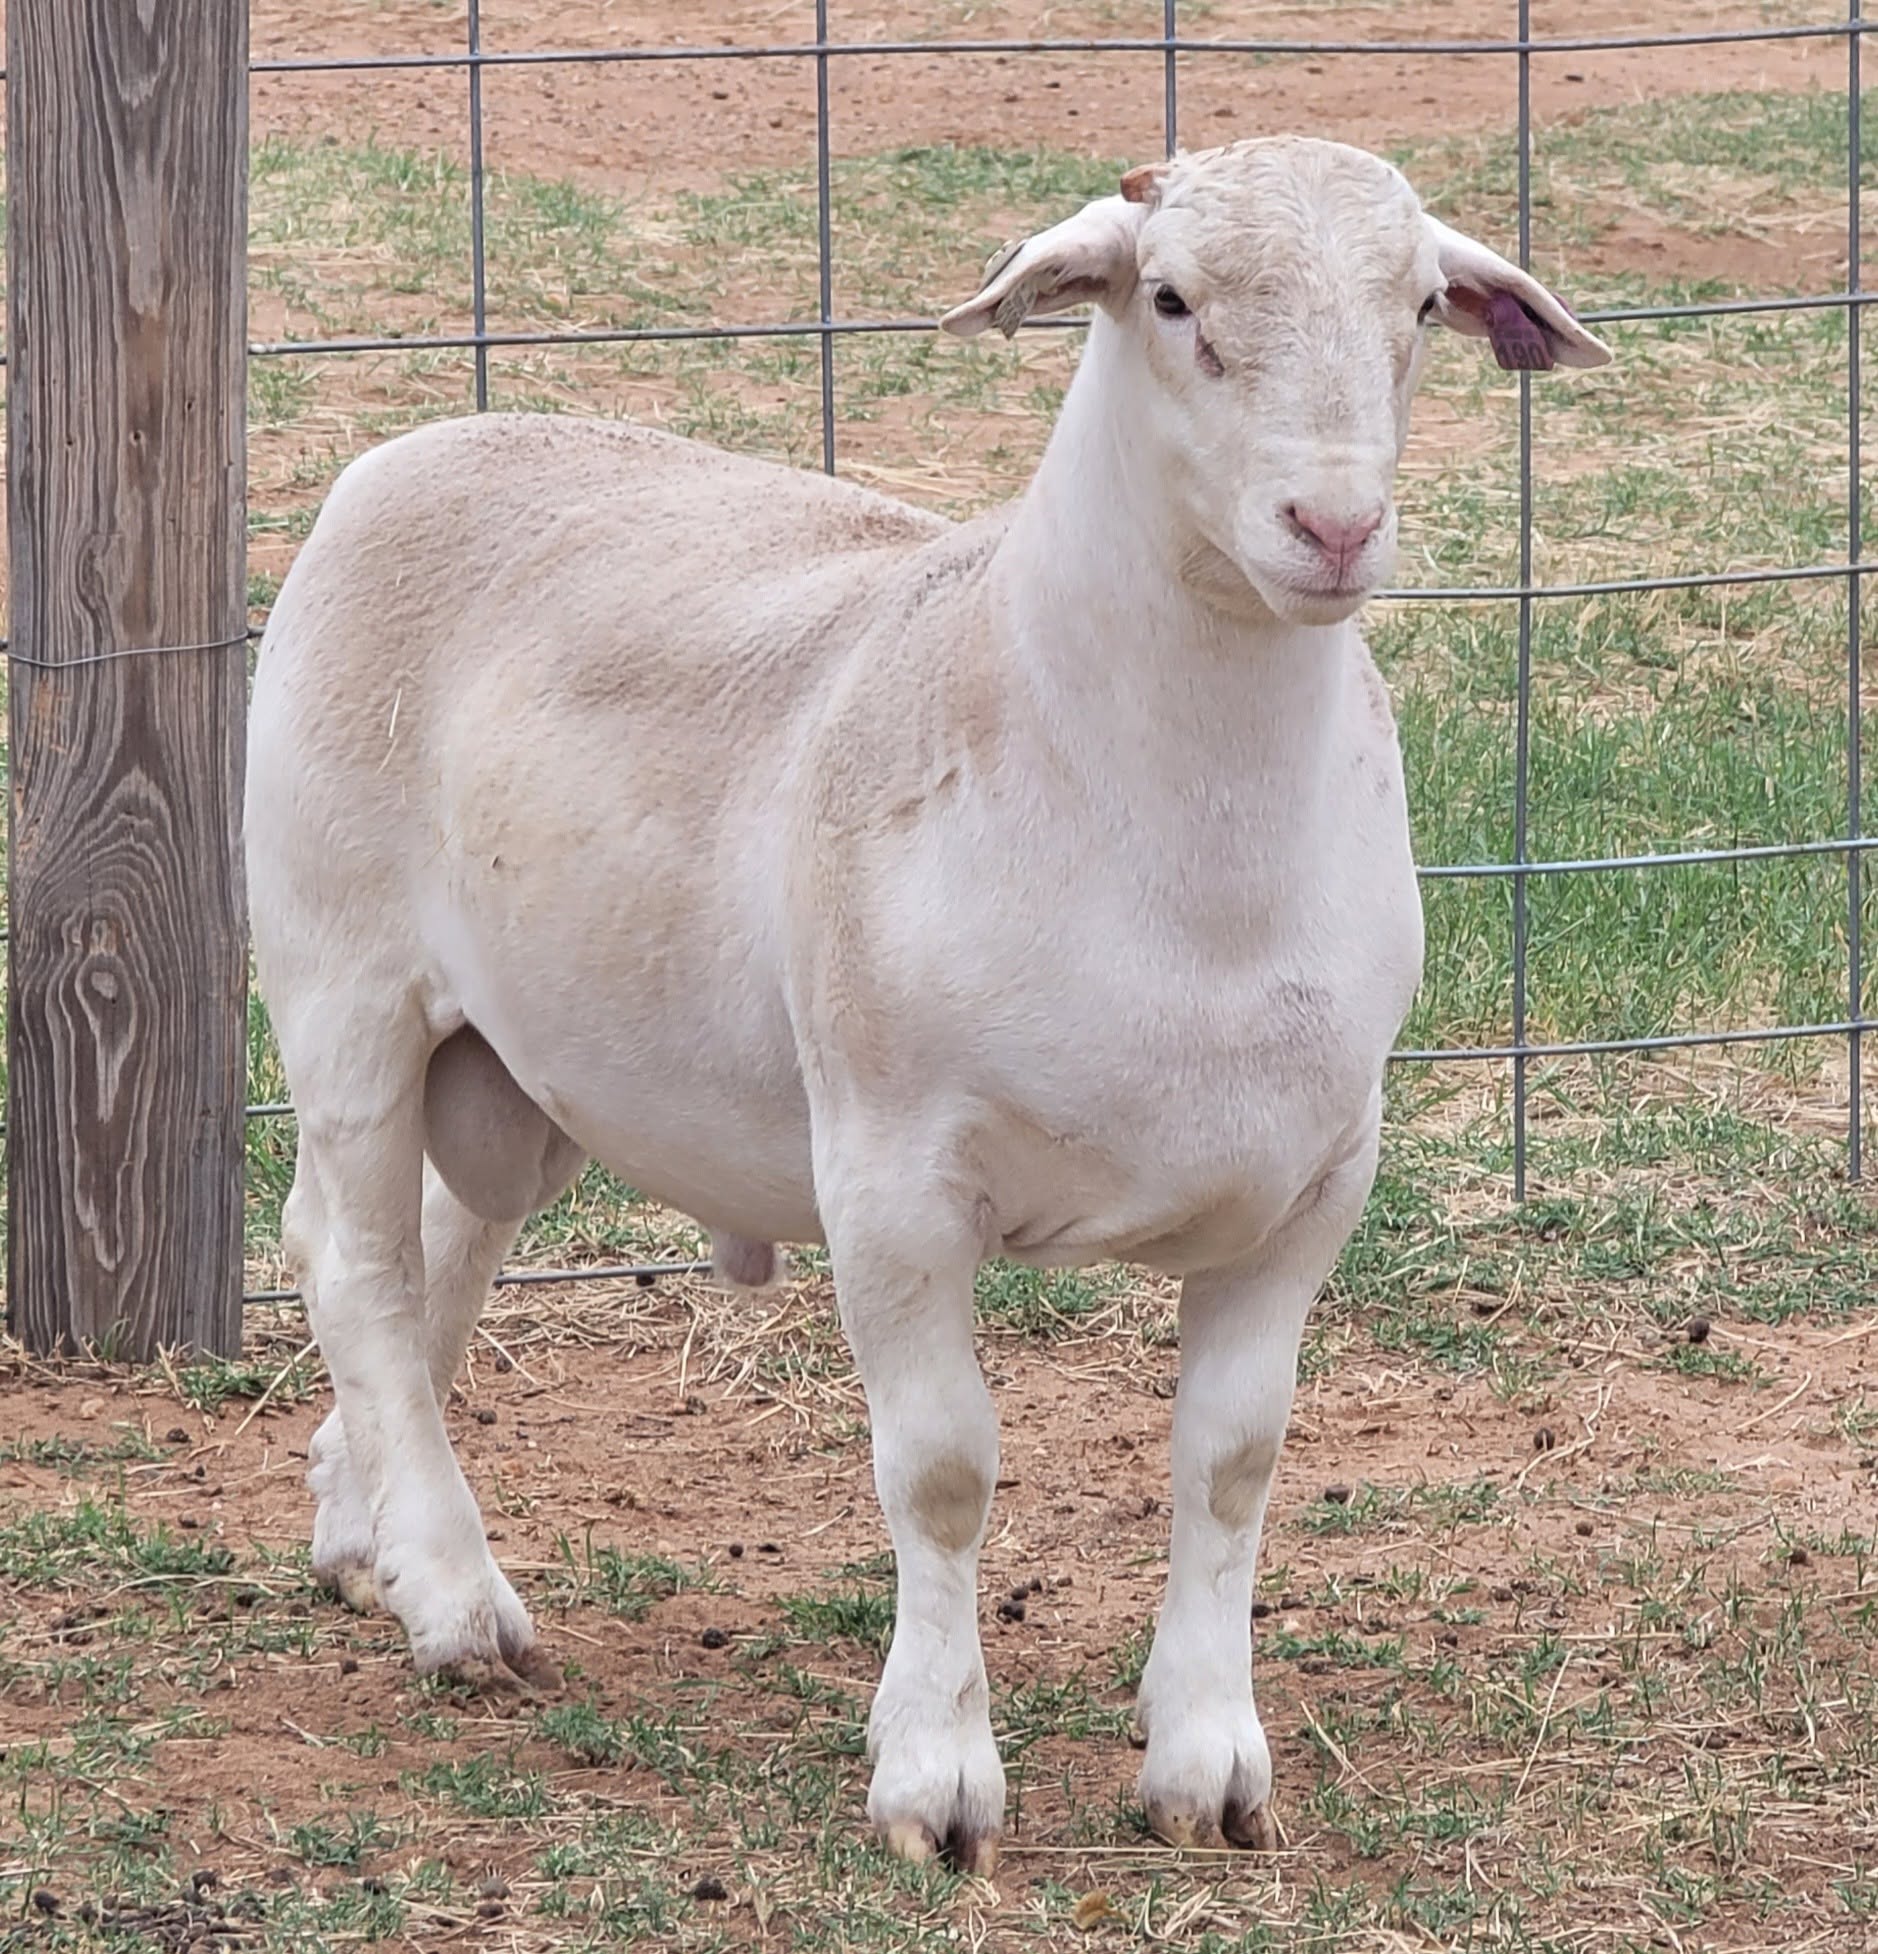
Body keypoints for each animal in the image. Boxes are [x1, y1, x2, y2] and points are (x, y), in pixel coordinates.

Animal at [245, 134, 1610, 1874]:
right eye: (1169, 299)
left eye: (1424, 305)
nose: (1331, 522)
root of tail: (414, 448)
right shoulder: (892, 1174)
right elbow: (944, 1469)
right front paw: (937, 1779)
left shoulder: (1313, 1183)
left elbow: (1232, 1460)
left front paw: (1206, 1763)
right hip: (341, 975)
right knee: (353, 1265)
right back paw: (460, 1606)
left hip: (515, 1060)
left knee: (430, 1258)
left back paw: (367, 1538)